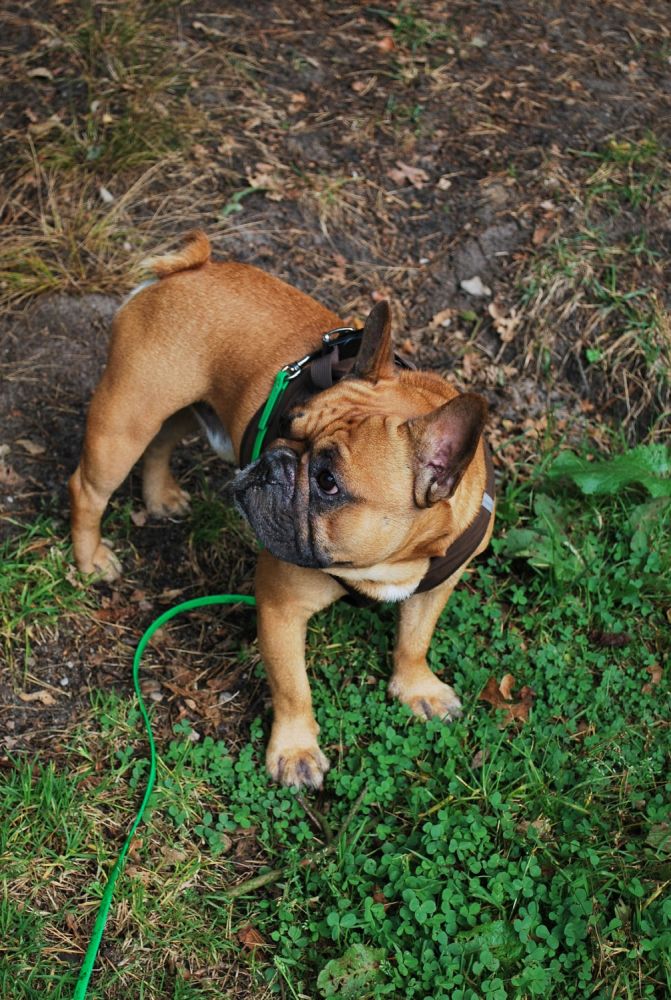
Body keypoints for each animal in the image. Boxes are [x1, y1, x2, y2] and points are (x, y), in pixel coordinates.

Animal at [70, 231, 495, 789]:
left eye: (328, 482)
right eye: (289, 424)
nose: (275, 460)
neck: (390, 563)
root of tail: (187, 269)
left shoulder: (436, 588)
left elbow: (415, 639)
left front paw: (417, 688)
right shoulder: (280, 604)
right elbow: (293, 684)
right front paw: (295, 751)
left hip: (189, 411)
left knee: (162, 443)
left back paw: (161, 497)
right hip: (125, 421)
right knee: (87, 488)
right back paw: (90, 559)